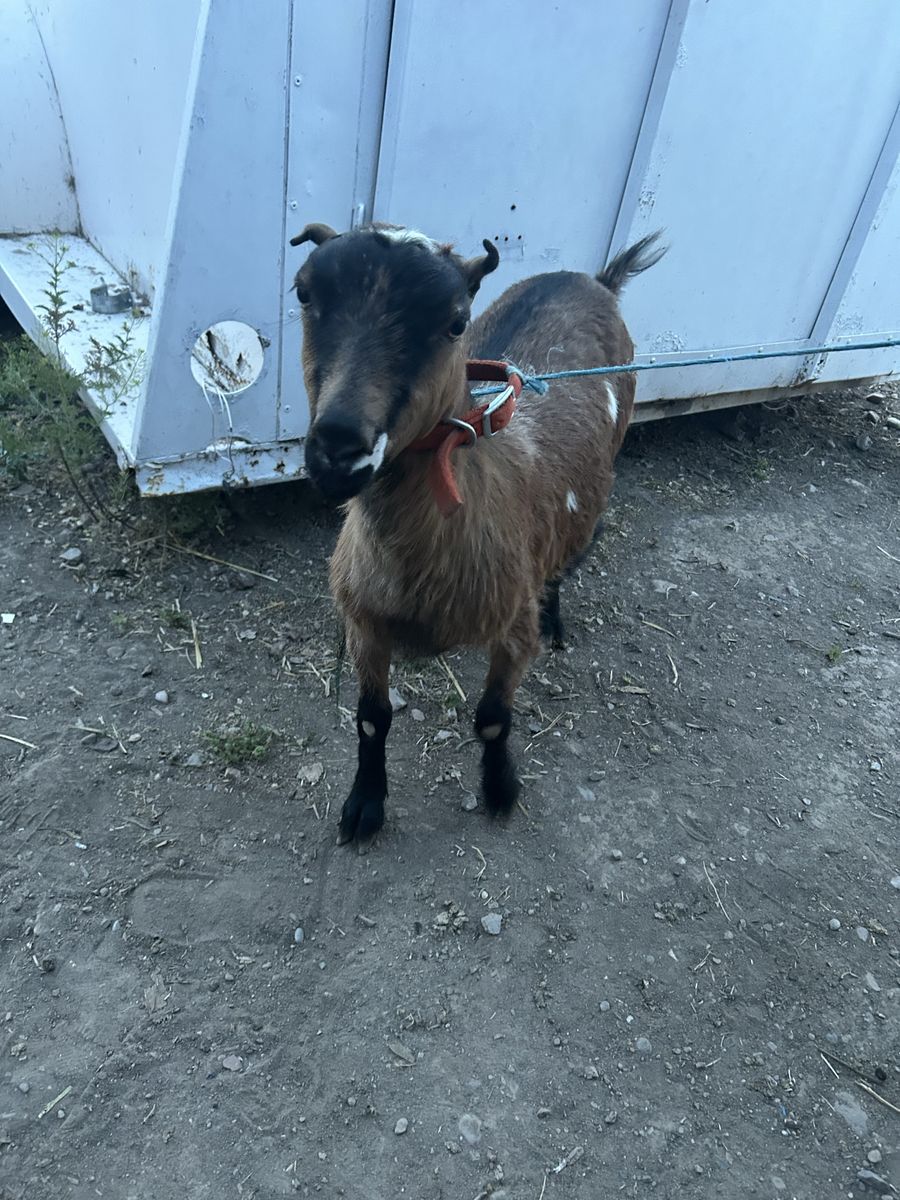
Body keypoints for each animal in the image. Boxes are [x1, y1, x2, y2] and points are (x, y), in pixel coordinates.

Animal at [291, 221, 664, 845]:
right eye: (303, 293)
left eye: (455, 322)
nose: (339, 449)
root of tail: (594, 279)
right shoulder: (363, 622)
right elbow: (371, 721)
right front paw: (364, 805)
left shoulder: (512, 626)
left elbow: (491, 720)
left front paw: (499, 789)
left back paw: (556, 619)